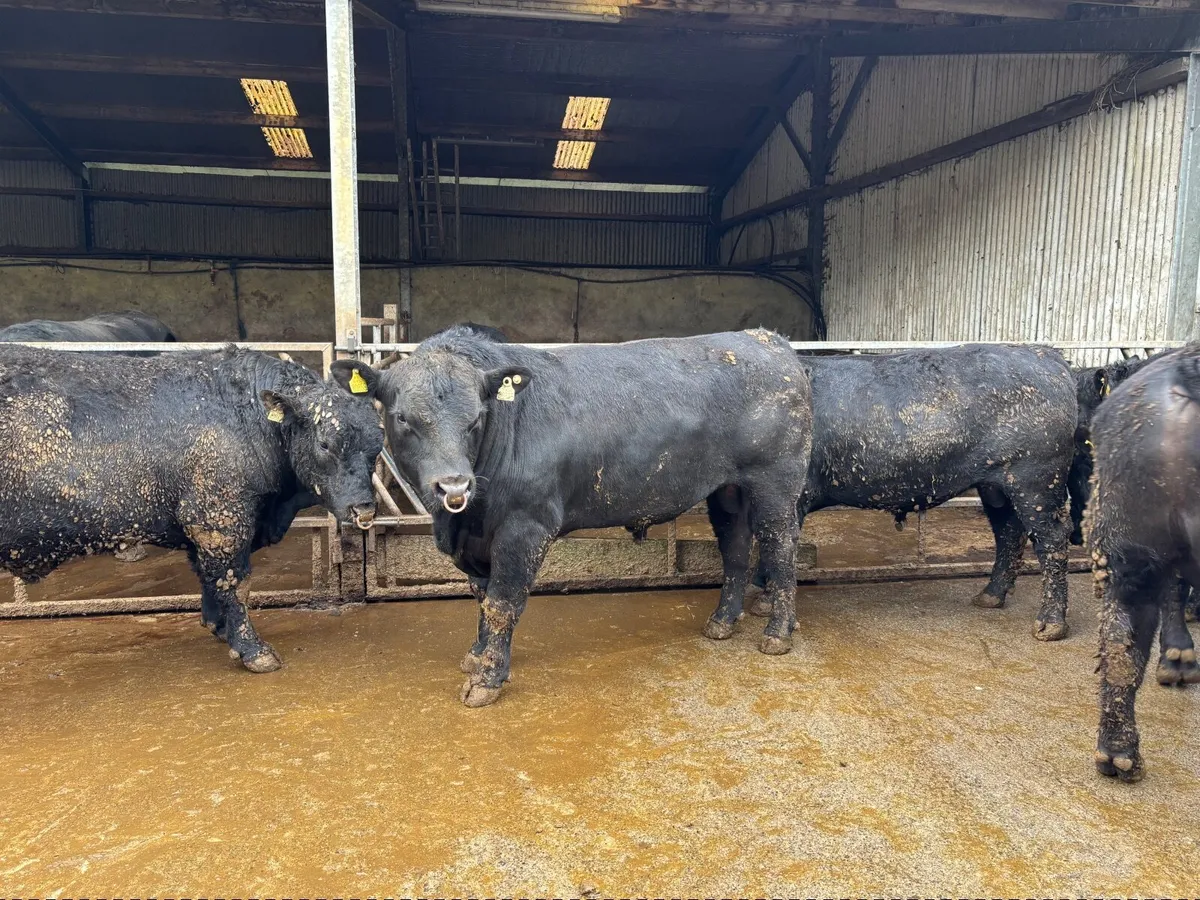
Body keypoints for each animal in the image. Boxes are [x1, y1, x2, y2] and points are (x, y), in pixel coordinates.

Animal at [0, 345, 383, 672]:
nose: (364, 509)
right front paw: (253, 650)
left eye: (377, 445)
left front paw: (219, 628)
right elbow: (234, 583)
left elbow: (209, 579)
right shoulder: (218, 518)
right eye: (325, 443)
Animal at [333, 326, 813, 707]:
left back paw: (778, 632)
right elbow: (482, 598)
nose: (454, 487)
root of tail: (769, 341)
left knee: (781, 546)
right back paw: (721, 622)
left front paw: (487, 680)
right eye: (403, 418)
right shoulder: (476, 540)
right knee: (735, 547)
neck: (465, 521)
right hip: (727, 489)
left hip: (776, 481)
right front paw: (476, 654)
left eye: (476, 418)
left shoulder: (525, 527)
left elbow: (503, 602)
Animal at [747, 345, 1078, 640]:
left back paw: (1049, 626)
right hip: (995, 486)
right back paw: (989, 597)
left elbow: (775, 543)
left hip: (1037, 479)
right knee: (1009, 532)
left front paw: (762, 604)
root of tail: (1049, 357)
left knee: (1052, 538)